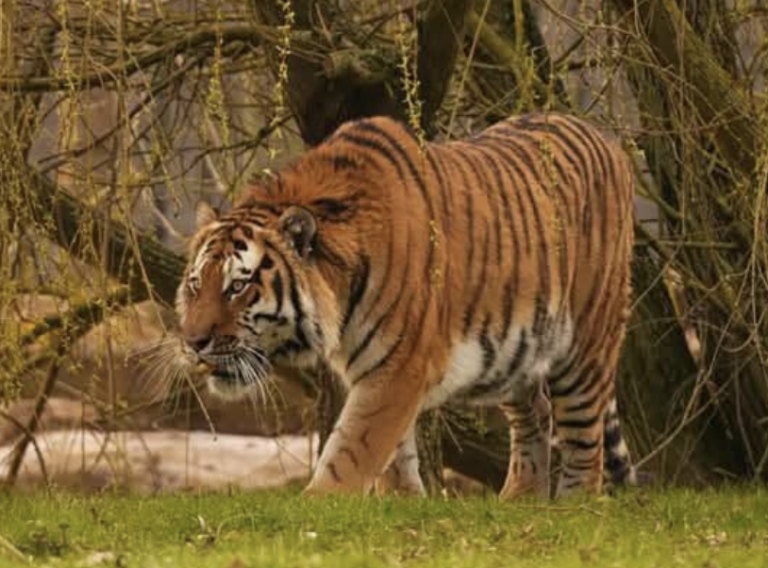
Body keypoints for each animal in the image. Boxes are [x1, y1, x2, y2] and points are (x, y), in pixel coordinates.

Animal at [175, 111, 637, 498]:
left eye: (238, 287)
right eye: (197, 285)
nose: (194, 343)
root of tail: (607, 139)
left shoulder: (399, 367)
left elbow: (352, 449)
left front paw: (318, 505)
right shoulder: (380, 368)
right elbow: (394, 453)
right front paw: (403, 502)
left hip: (585, 346)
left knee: (584, 438)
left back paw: (572, 505)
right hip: (517, 353)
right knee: (535, 412)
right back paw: (519, 499)